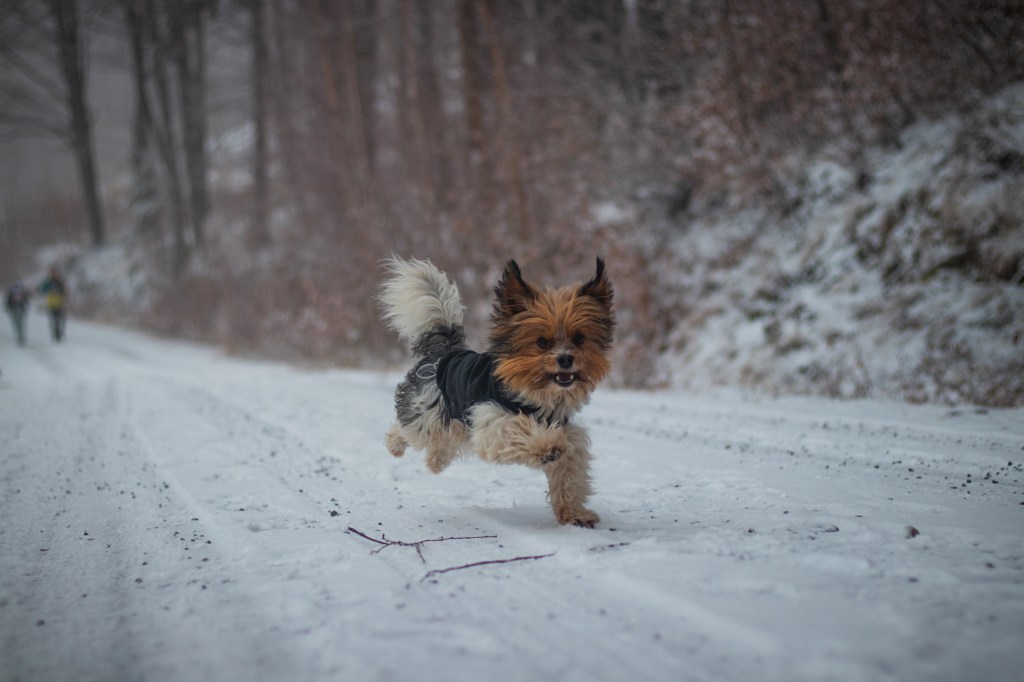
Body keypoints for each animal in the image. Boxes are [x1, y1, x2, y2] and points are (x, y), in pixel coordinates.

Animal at [378, 254, 610, 524]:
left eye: (579, 338)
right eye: (542, 342)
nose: (565, 359)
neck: (538, 395)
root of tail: (445, 352)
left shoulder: (568, 432)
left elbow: (570, 470)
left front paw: (575, 513)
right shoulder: (491, 419)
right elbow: (520, 427)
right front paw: (547, 446)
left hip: (453, 421)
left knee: (445, 439)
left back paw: (436, 462)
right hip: (426, 412)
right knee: (407, 429)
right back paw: (395, 446)